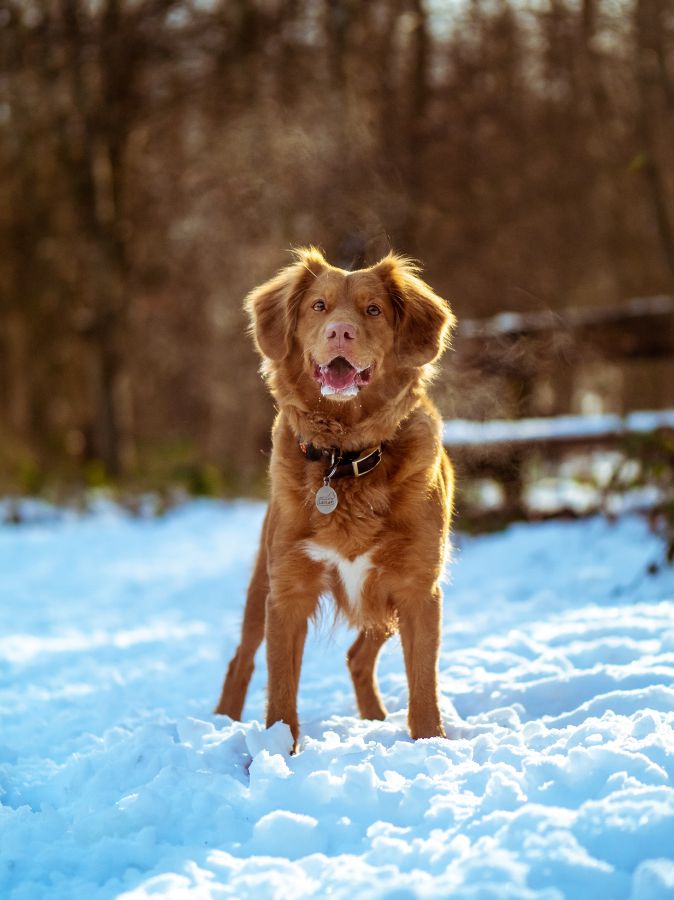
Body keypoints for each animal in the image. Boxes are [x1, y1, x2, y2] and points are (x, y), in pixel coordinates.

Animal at [215, 248, 454, 752]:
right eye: (318, 307)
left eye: (373, 310)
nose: (339, 332)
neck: (345, 458)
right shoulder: (288, 592)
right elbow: (280, 689)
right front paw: (276, 752)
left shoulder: (417, 589)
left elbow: (423, 683)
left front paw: (431, 743)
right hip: (259, 588)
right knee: (241, 659)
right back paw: (222, 719)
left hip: (383, 606)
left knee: (358, 657)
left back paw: (374, 719)